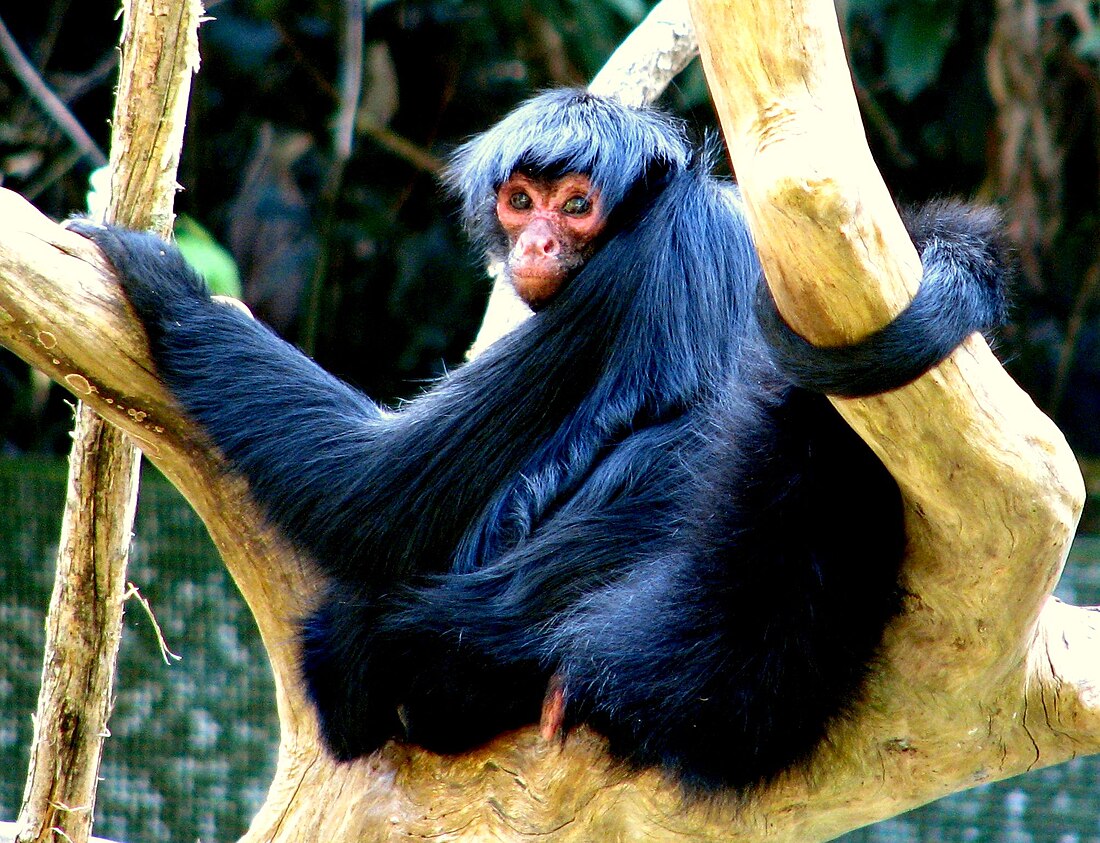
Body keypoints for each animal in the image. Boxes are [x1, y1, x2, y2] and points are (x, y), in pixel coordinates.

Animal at [68, 87, 1012, 792]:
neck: (674, 209)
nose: (540, 239)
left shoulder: (619, 279)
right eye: (519, 201)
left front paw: (169, 284)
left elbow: (376, 496)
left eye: (576, 205)